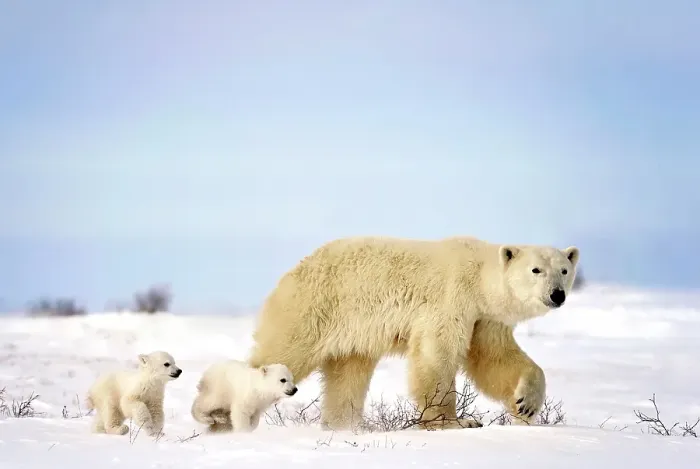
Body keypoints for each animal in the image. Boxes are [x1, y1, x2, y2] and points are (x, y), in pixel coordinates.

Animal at [247, 235, 579, 431]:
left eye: (564, 270)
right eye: (536, 270)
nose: (557, 294)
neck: (479, 278)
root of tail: (292, 272)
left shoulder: (484, 318)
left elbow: (494, 358)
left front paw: (526, 405)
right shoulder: (451, 299)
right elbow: (438, 356)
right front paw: (455, 422)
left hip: (352, 332)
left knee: (348, 374)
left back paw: (346, 426)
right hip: (313, 308)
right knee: (283, 354)